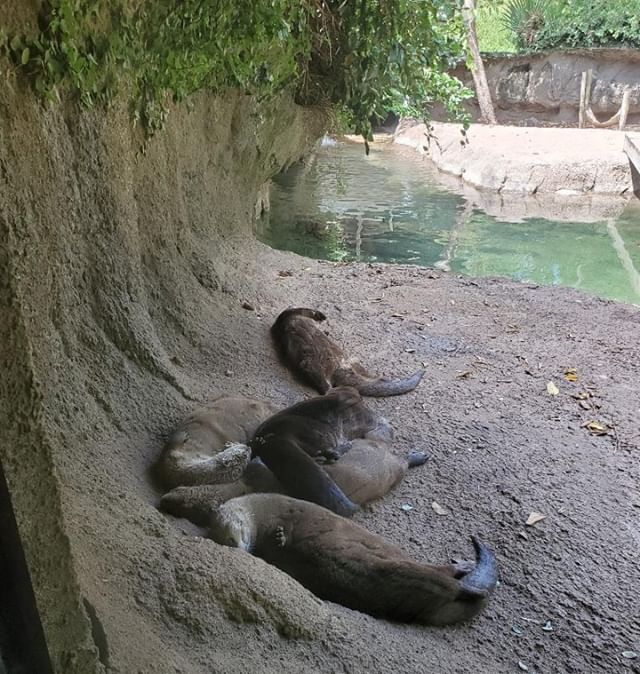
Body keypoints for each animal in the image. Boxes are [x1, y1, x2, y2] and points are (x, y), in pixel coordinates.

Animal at [210, 490, 500, 628]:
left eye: (236, 529)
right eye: (220, 535)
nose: (234, 544)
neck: (262, 512)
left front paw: (280, 536)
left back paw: (464, 567)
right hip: (404, 574)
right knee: (449, 583)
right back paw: (468, 580)